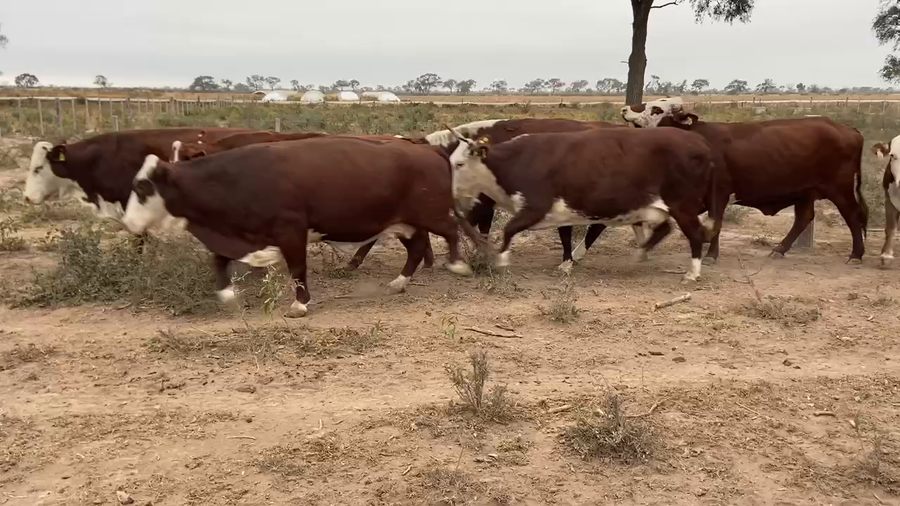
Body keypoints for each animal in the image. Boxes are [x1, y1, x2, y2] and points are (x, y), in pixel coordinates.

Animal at [121, 137, 479, 317]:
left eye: (142, 186)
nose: (127, 222)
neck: (239, 179)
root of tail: (430, 149)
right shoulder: (239, 234)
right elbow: (219, 262)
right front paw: (227, 296)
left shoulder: (290, 231)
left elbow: (297, 268)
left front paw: (299, 303)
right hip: (405, 223)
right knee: (418, 248)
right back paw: (399, 283)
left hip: (428, 215)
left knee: (451, 230)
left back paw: (458, 264)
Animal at [445, 126, 721, 282]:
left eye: (459, 164)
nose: (452, 194)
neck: (513, 163)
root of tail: (702, 143)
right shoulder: (561, 210)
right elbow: (565, 235)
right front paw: (566, 263)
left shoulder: (535, 207)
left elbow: (508, 229)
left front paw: (501, 260)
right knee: (665, 229)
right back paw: (641, 252)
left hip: (683, 205)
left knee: (695, 235)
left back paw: (692, 273)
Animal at [621, 98, 868, 264]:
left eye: (656, 109)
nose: (625, 109)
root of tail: (846, 128)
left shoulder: (718, 193)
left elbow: (716, 223)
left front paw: (711, 255)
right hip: (805, 192)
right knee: (803, 219)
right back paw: (779, 249)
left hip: (840, 189)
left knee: (852, 216)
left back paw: (856, 254)